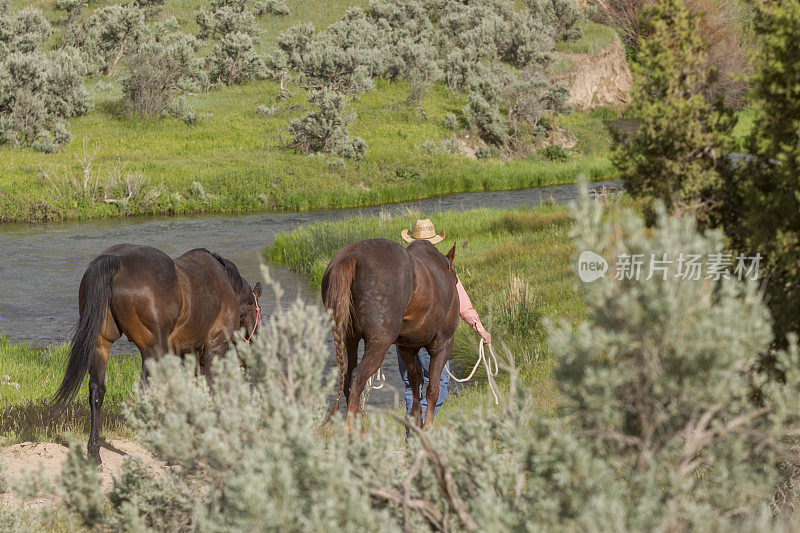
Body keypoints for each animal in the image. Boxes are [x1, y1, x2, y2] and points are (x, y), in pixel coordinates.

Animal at [52, 242, 262, 462]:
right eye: (254, 313)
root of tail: (115, 261)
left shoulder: (189, 353)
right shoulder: (214, 349)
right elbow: (211, 389)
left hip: (100, 344)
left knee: (97, 391)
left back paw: (94, 452)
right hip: (153, 350)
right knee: (145, 391)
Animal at [318, 237, 456, 428]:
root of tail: (352, 255)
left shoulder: (407, 348)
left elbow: (415, 384)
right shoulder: (442, 346)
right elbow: (432, 390)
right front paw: (426, 428)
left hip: (348, 340)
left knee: (347, 380)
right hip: (379, 344)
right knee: (357, 378)